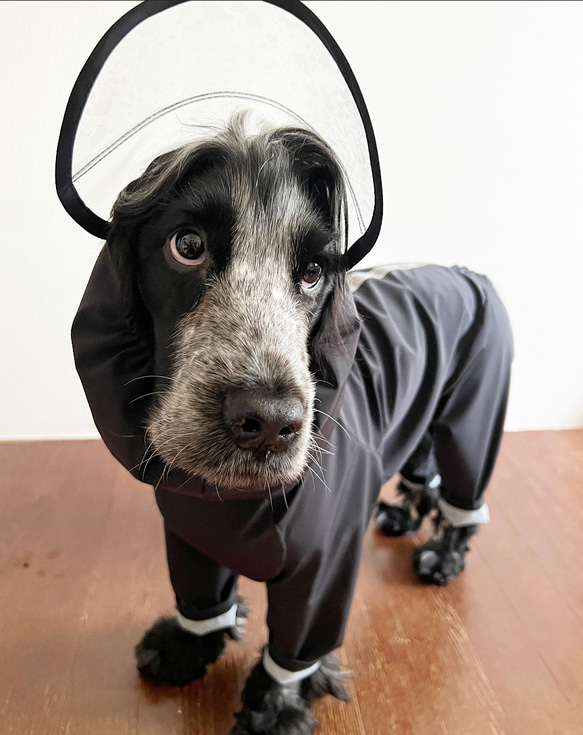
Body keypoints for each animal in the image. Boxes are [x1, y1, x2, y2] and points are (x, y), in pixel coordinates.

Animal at [72, 115, 512, 732]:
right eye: (188, 245)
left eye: (312, 272)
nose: (268, 421)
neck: (231, 500)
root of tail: (467, 272)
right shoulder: (188, 531)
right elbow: (201, 599)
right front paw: (185, 647)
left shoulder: (323, 567)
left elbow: (297, 648)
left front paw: (274, 710)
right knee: (423, 473)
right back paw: (401, 516)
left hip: (474, 414)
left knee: (464, 499)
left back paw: (442, 556)